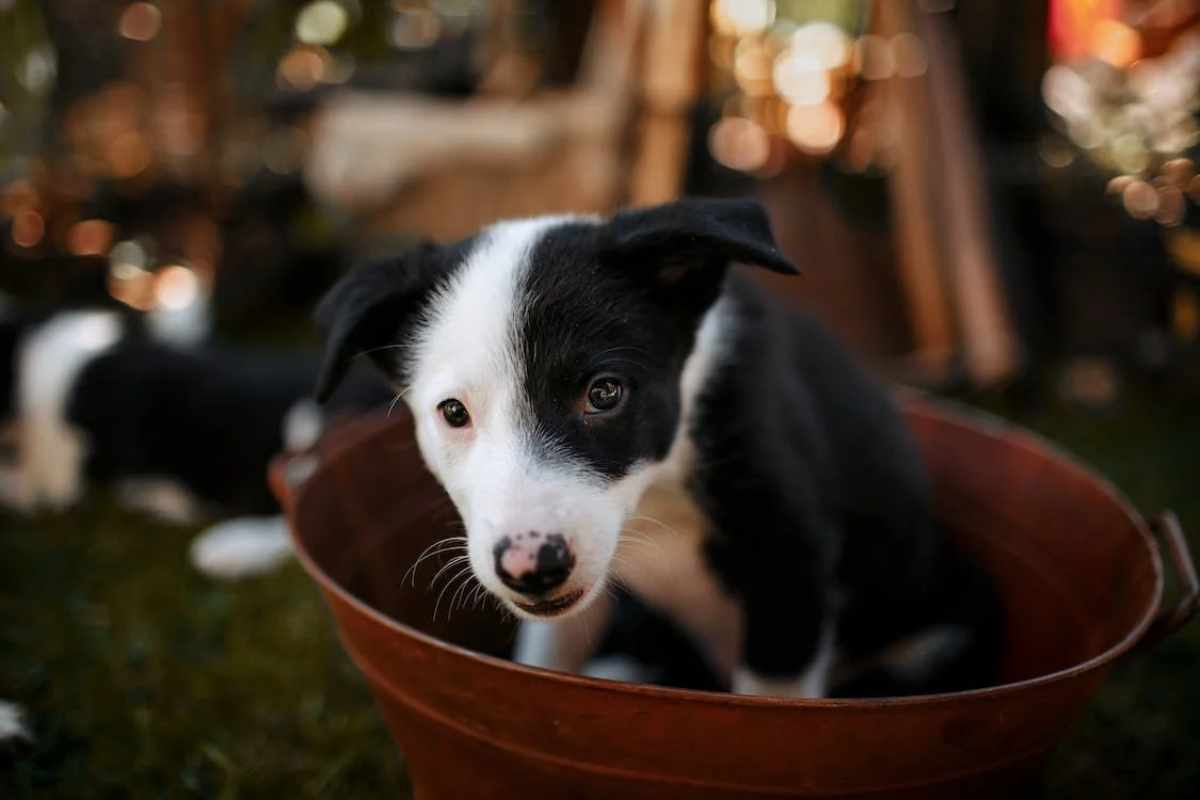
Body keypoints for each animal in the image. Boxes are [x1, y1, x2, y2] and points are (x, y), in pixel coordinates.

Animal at [314, 201, 998, 700]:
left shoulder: (790, 564)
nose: (531, 567)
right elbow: (547, 661)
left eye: (604, 393)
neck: (658, 491)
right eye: (453, 413)